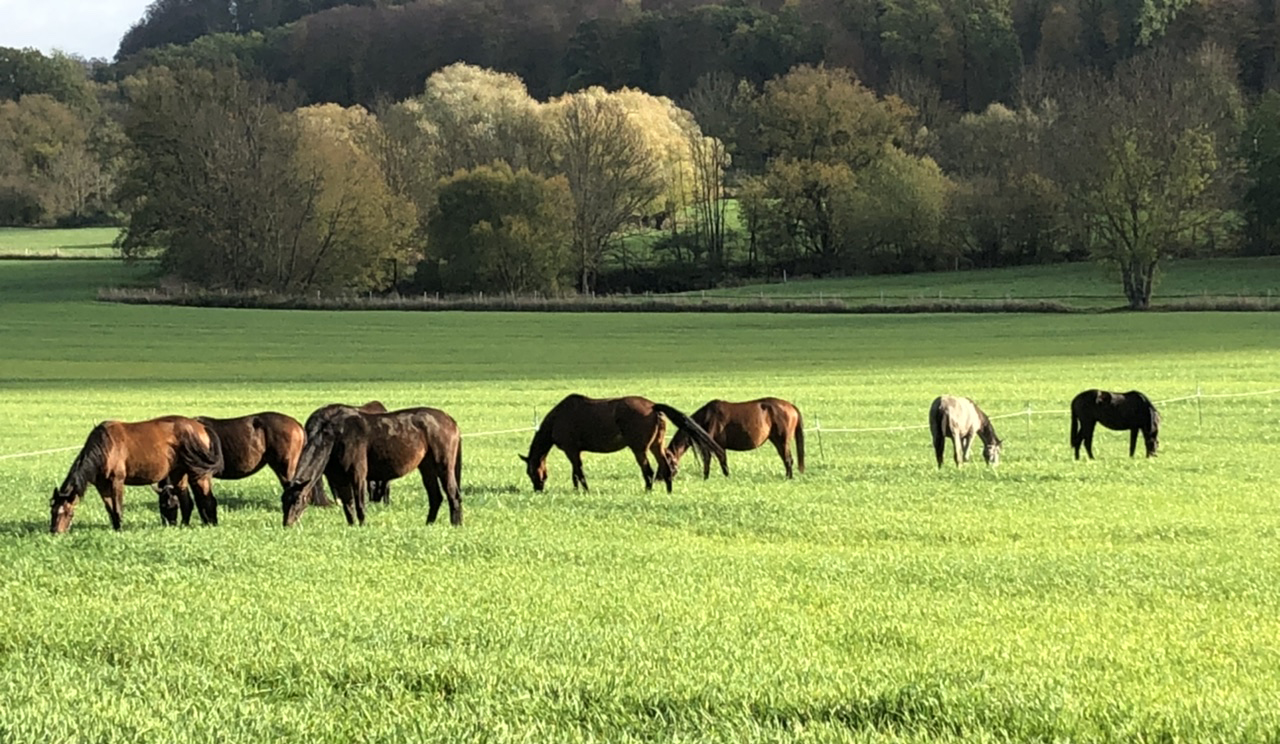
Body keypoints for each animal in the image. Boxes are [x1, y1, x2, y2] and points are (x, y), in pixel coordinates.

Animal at [49, 414, 224, 530]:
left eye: (69, 514)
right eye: (53, 512)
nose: (55, 533)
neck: (105, 447)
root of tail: (201, 427)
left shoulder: (117, 481)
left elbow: (118, 507)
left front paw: (120, 529)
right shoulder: (102, 485)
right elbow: (109, 508)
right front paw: (115, 528)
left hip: (198, 473)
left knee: (207, 498)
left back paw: (211, 524)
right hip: (178, 473)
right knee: (187, 501)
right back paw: (183, 526)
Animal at [282, 402, 463, 525]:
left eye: (297, 500)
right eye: (282, 500)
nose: (287, 524)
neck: (332, 435)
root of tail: (451, 420)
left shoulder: (359, 475)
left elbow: (360, 505)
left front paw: (363, 526)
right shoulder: (339, 479)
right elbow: (348, 507)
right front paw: (352, 526)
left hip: (444, 466)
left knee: (453, 494)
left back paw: (456, 525)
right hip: (426, 468)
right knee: (436, 496)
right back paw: (429, 524)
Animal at [517, 394, 721, 494]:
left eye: (530, 471)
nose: (538, 489)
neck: (558, 418)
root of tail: (653, 406)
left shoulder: (571, 450)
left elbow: (578, 473)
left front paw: (585, 490)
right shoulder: (575, 451)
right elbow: (575, 473)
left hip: (639, 449)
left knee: (648, 471)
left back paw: (648, 491)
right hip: (656, 446)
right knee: (665, 467)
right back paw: (668, 491)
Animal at [665, 396, 803, 478]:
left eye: (668, 461)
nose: (666, 477)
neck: (707, 418)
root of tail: (791, 406)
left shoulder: (716, 447)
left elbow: (717, 462)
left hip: (782, 441)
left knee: (788, 460)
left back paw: (788, 478)